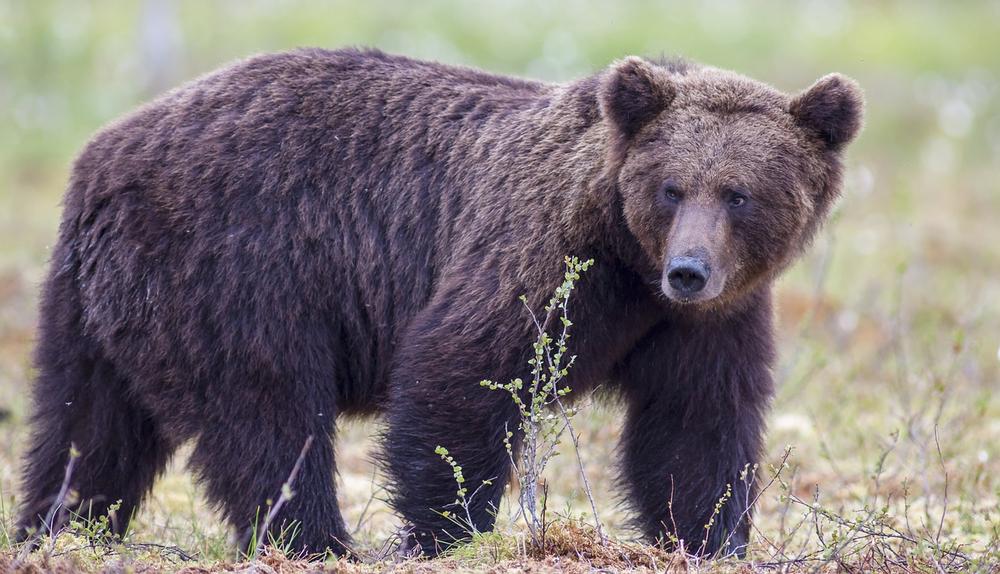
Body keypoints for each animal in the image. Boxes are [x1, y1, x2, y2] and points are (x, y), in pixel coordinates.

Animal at [15, 47, 860, 560]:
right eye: (673, 187)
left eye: (740, 194)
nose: (689, 270)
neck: (627, 261)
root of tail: (103, 155)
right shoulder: (538, 255)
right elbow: (459, 374)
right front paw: (444, 532)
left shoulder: (706, 322)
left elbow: (695, 428)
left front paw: (708, 537)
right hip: (237, 269)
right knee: (267, 417)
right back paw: (320, 542)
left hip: (97, 306)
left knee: (87, 429)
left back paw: (59, 532)